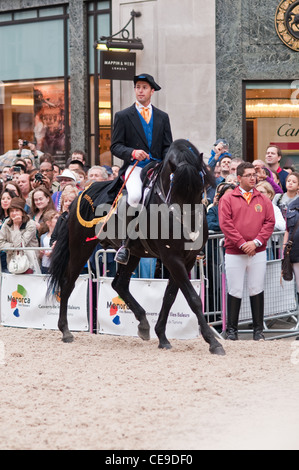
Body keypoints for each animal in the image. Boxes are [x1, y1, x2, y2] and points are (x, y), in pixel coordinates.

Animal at [47, 140, 225, 356]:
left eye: (201, 188)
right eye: (175, 190)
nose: (190, 232)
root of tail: (80, 194)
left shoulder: (187, 260)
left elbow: (170, 297)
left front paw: (162, 337)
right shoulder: (172, 258)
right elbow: (192, 298)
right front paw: (213, 342)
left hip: (133, 254)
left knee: (119, 284)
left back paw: (143, 324)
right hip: (81, 247)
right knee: (68, 283)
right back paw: (65, 331)